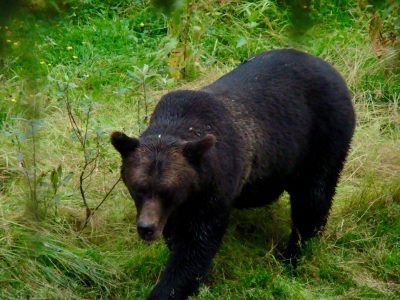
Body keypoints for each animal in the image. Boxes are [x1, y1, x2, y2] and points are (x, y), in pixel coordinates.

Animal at [111, 48, 354, 298]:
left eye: (168, 191)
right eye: (138, 188)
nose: (146, 228)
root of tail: (331, 68)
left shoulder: (215, 184)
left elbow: (195, 245)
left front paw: (168, 287)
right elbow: (178, 234)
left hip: (324, 137)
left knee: (313, 196)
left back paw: (293, 254)